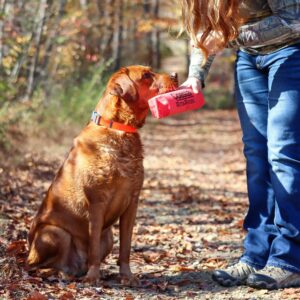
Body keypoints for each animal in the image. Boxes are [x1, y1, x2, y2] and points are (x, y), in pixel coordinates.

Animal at [26, 65, 178, 284]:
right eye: (146, 75)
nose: (175, 74)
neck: (119, 130)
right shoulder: (97, 202)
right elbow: (94, 249)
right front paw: (93, 276)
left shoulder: (132, 202)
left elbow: (126, 247)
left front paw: (126, 276)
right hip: (54, 233)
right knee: (37, 266)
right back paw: (60, 273)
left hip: (108, 236)